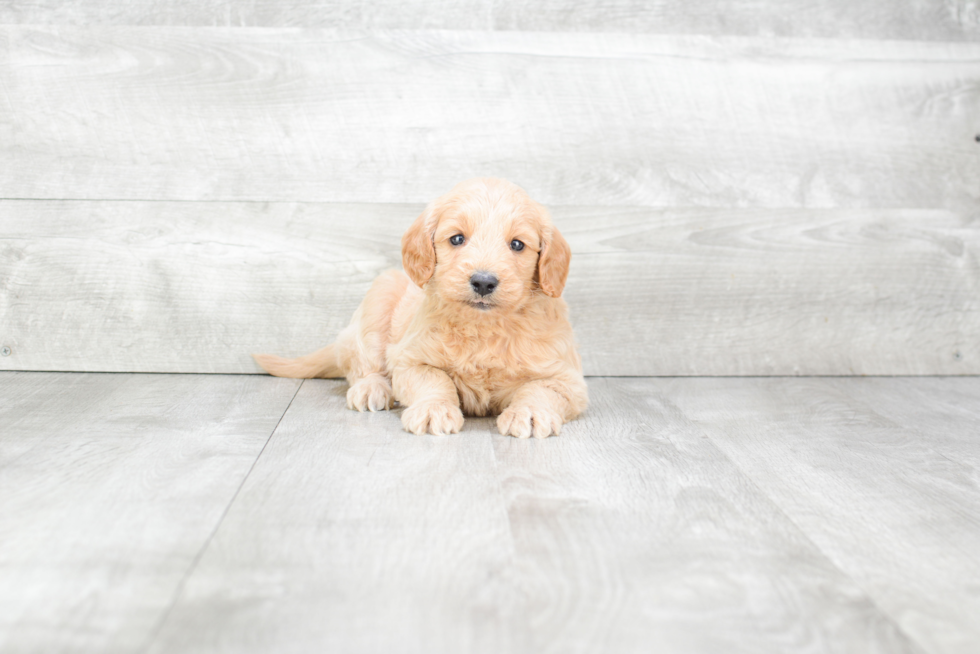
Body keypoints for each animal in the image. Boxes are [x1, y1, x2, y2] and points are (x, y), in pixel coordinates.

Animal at [255, 178, 588, 440]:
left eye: (518, 245)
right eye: (457, 238)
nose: (483, 282)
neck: (483, 327)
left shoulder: (566, 377)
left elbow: (540, 389)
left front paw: (529, 413)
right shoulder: (409, 358)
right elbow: (434, 379)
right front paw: (434, 409)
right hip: (377, 304)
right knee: (364, 367)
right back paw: (372, 389)